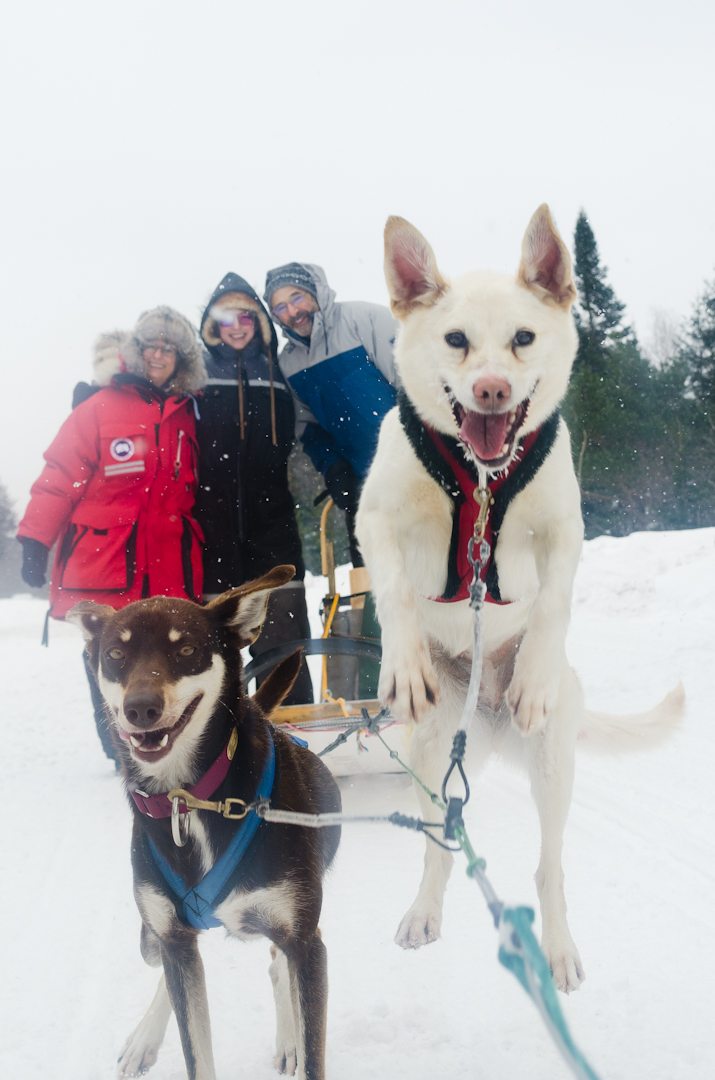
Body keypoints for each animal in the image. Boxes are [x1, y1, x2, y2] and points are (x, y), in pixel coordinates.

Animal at [356, 206, 682, 989]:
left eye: (523, 338)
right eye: (455, 340)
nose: (492, 392)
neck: (479, 480)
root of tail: (486, 723)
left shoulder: (566, 528)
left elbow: (555, 601)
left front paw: (530, 675)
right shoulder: (374, 518)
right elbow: (394, 589)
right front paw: (403, 664)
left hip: (553, 768)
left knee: (548, 867)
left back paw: (557, 948)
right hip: (429, 749)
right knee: (438, 847)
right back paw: (425, 909)